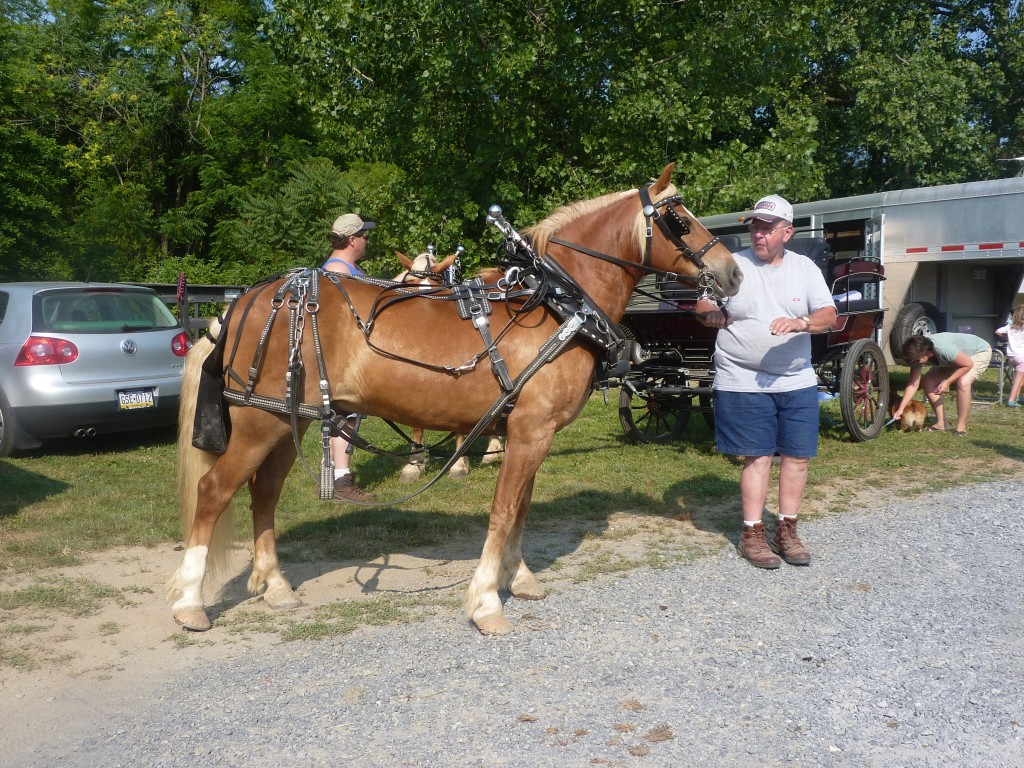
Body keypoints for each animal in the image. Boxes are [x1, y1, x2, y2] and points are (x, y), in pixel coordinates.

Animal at [169, 163, 745, 638]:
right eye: (678, 219)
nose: (734, 272)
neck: (560, 304)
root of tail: (245, 300)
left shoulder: (527, 433)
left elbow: (522, 508)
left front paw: (520, 577)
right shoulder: (531, 430)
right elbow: (504, 510)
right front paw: (487, 601)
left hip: (291, 421)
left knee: (263, 493)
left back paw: (275, 586)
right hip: (257, 424)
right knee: (214, 489)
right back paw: (190, 602)